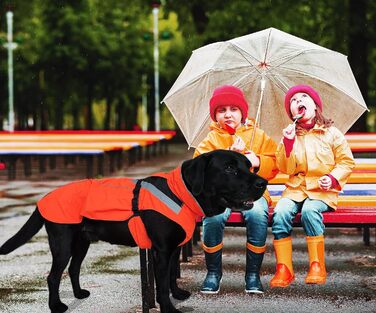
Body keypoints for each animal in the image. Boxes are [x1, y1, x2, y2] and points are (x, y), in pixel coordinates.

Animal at [0, 149, 268, 312]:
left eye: (249, 166)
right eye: (229, 169)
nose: (262, 182)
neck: (181, 194)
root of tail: (43, 199)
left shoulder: (172, 250)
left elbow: (171, 277)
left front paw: (178, 294)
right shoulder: (161, 251)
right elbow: (161, 284)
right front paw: (168, 308)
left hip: (82, 242)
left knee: (74, 268)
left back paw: (79, 294)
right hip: (63, 243)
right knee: (53, 276)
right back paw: (57, 306)